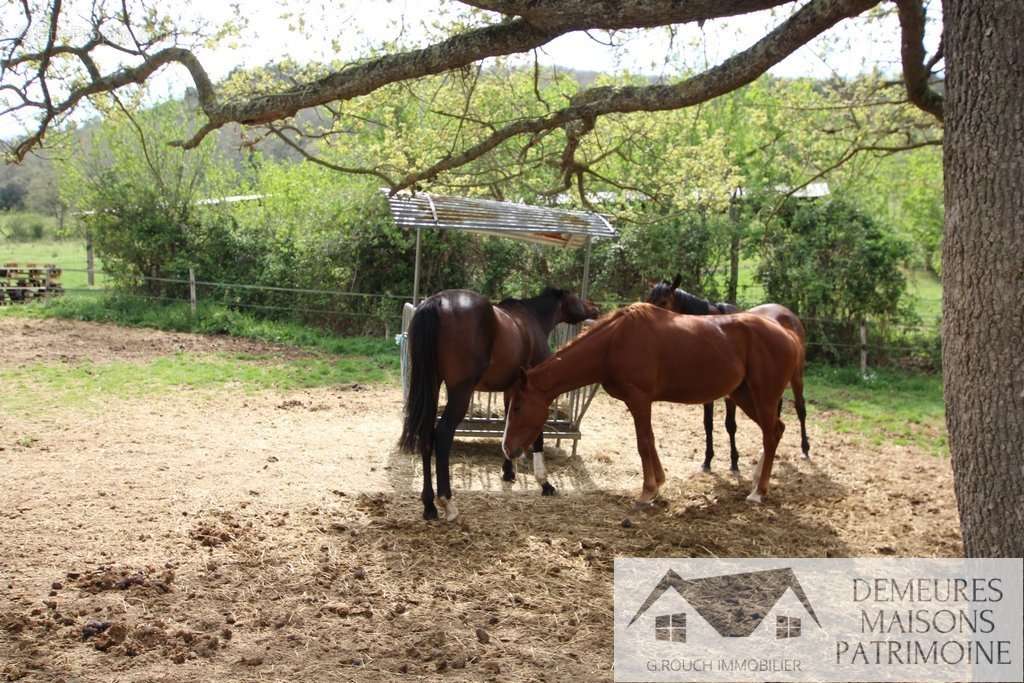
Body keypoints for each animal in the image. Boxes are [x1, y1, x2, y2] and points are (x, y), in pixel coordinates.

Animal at [395, 286, 598, 518]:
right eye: (576, 297)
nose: (595, 308)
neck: (532, 319)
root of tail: (437, 302)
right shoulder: (535, 393)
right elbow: (537, 434)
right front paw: (544, 483)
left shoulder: (513, 391)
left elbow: (510, 426)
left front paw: (509, 471)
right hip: (460, 391)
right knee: (443, 434)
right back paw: (447, 501)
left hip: (433, 385)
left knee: (427, 434)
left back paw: (429, 506)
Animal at [499, 303, 802, 501]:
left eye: (518, 407)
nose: (507, 448)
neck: (615, 341)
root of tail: (787, 333)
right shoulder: (641, 402)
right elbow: (651, 440)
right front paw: (659, 483)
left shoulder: (639, 399)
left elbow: (643, 442)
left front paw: (647, 492)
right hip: (743, 396)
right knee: (776, 430)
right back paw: (757, 481)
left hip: (763, 396)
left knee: (771, 434)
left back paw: (758, 492)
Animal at [647, 274, 806, 473]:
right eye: (648, 299)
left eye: (664, 302)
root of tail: (787, 314)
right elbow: (708, 424)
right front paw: (707, 460)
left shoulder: (730, 395)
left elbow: (730, 425)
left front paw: (734, 462)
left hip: (796, 378)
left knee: (800, 408)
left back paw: (805, 450)